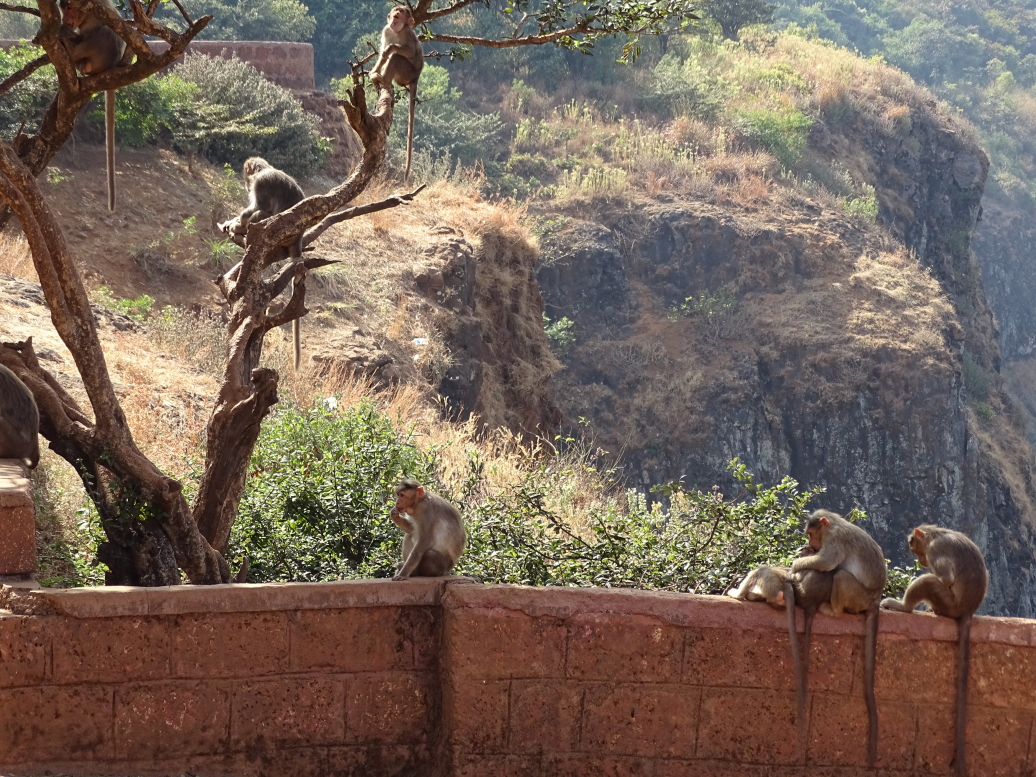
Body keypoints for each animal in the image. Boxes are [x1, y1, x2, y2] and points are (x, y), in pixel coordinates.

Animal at [60, 0, 126, 212]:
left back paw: (69, 47)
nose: (65, 18)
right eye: (63, 9)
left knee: (105, 32)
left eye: (69, 8)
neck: (85, 16)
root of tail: (110, 68)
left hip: (102, 56)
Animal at [218, 157, 307, 370]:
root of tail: (298, 238)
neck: (264, 170)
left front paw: (238, 221)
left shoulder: (261, 184)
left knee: (260, 214)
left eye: (247, 178)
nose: (245, 185)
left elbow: (259, 207)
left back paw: (242, 228)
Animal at [370, 5, 424, 184]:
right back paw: (379, 77)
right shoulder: (386, 30)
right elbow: (382, 54)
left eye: (404, 11)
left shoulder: (407, 34)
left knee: (397, 57)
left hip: (407, 72)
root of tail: (416, 77)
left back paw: (384, 80)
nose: (398, 12)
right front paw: (373, 71)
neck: (397, 31)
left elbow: (408, 51)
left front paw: (391, 48)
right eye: (397, 9)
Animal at [792, 509, 886, 766]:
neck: (832, 524)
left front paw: (794, 564)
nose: (811, 544)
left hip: (857, 596)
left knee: (840, 575)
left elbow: (825, 562)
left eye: (811, 533)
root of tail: (875, 599)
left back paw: (832, 610)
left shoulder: (834, 541)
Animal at [881, 525, 988, 777]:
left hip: (948, 603)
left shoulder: (936, 550)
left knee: (929, 581)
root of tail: (967, 610)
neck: (936, 533)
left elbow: (945, 578)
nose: (921, 560)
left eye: (916, 548)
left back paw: (904, 607)